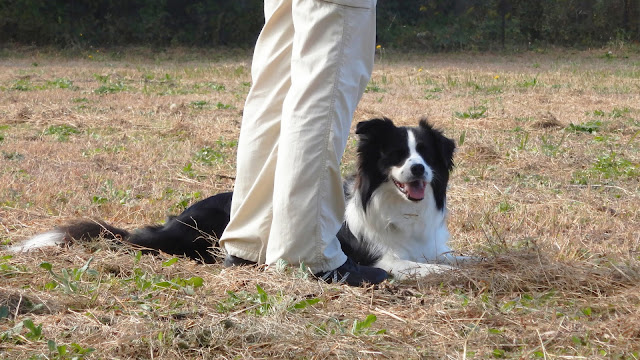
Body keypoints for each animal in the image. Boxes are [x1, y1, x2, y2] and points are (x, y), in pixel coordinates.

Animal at [7, 119, 462, 282]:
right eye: (396, 156)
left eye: (425, 154)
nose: (418, 170)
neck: (400, 208)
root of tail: (174, 220)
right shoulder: (381, 257)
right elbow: (420, 267)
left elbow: (454, 257)